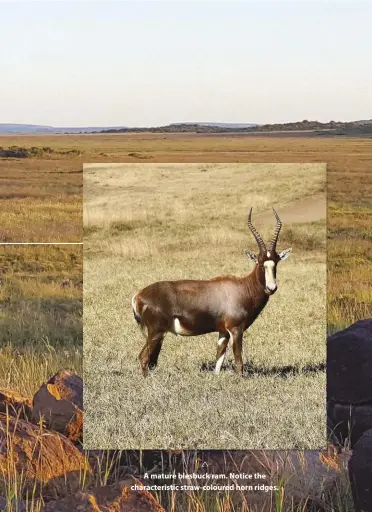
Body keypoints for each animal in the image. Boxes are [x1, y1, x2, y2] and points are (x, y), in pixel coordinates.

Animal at [131, 208, 290, 376]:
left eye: (276, 262)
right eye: (260, 263)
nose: (271, 288)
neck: (241, 287)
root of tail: (138, 296)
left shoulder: (223, 332)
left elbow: (219, 360)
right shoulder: (236, 330)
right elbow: (239, 361)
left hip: (158, 335)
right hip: (156, 332)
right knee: (143, 357)